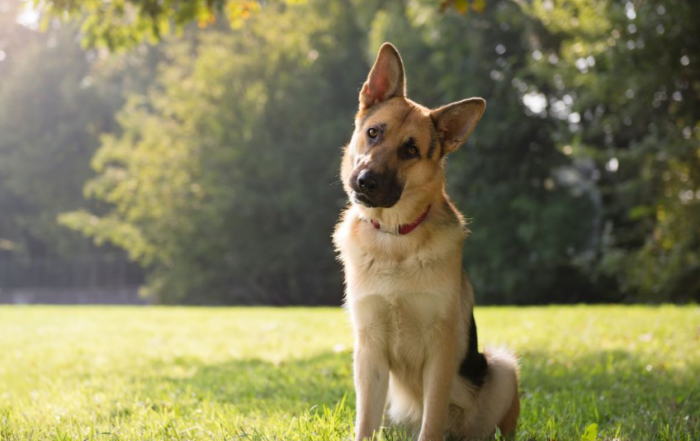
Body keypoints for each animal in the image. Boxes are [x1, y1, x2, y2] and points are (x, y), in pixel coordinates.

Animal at [332, 42, 520, 440]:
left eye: (410, 151)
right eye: (374, 133)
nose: (365, 182)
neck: (395, 239)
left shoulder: (441, 349)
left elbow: (431, 420)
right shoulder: (369, 350)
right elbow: (365, 422)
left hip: (502, 367)